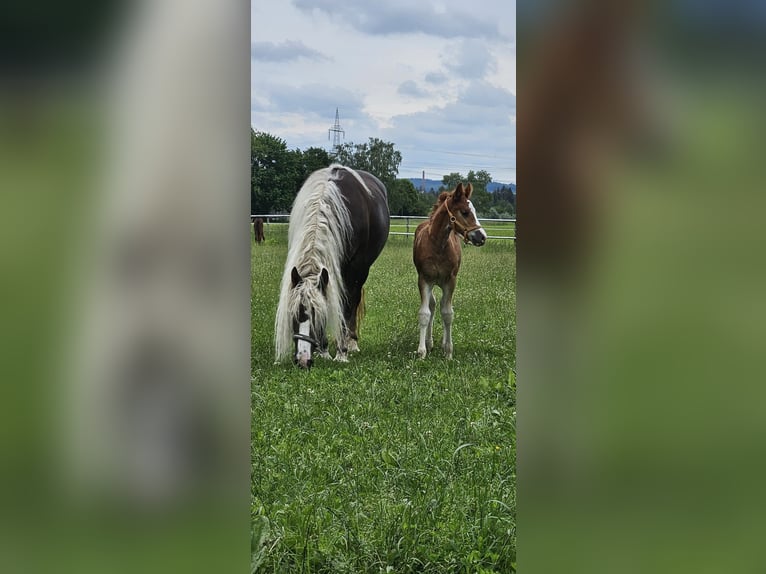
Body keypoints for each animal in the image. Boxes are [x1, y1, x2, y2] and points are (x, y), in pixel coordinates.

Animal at [274, 164, 390, 368]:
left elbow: (347, 306)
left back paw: (351, 342)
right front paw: (323, 350)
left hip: (361, 272)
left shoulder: (354, 270)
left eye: (317, 316)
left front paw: (341, 352)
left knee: (353, 302)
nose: (303, 360)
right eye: (294, 314)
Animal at [414, 182, 486, 360]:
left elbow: (448, 314)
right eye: (465, 212)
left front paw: (448, 351)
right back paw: (429, 342)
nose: (482, 237)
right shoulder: (424, 279)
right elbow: (425, 313)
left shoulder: (451, 280)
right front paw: (421, 351)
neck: (438, 245)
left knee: (441, 306)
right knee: (433, 305)